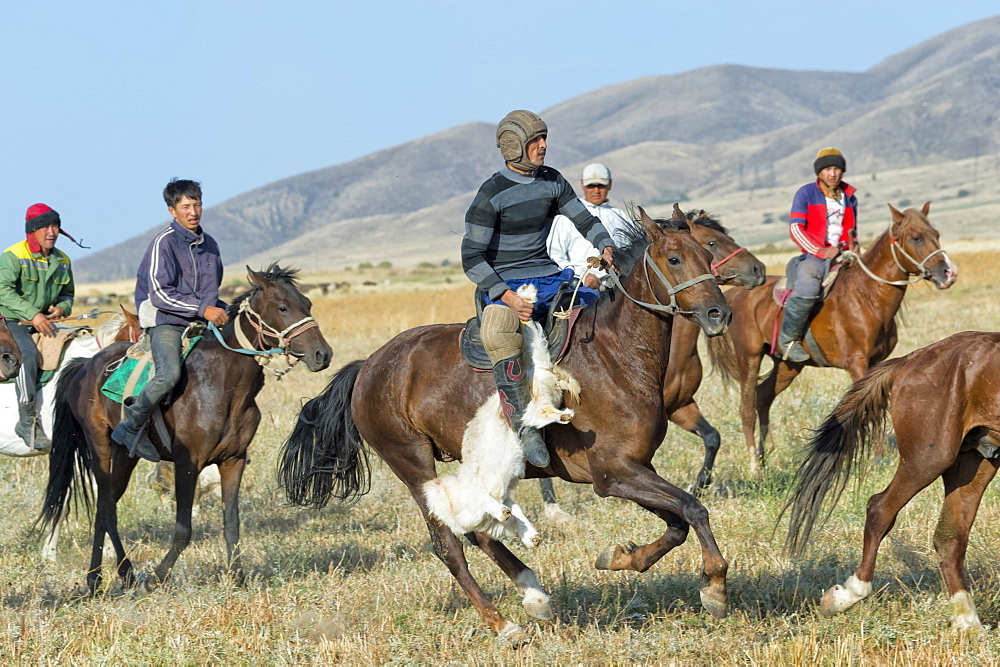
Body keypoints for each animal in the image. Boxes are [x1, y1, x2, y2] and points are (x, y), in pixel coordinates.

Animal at [40, 266, 332, 596]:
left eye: (307, 304)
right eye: (282, 307)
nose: (322, 354)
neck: (222, 385)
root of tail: (83, 366)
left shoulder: (233, 460)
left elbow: (232, 523)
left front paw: (238, 577)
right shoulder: (186, 463)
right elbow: (183, 530)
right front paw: (154, 579)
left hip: (126, 456)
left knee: (107, 505)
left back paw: (100, 578)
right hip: (99, 445)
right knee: (105, 507)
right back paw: (120, 574)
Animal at [282, 210, 736, 648]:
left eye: (707, 254)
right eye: (674, 259)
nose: (719, 314)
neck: (615, 354)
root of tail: (368, 368)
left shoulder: (636, 468)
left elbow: (678, 523)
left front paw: (621, 557)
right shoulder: (613, 473)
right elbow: (693, 508)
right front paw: (714, 585)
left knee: (479, 532)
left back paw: (533, 594)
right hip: (413, 465)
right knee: (449, 544)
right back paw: (502, 625)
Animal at [708, 202, 956, 474]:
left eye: (937, 234)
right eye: (916, 238)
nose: (949, 273)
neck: (866, 296)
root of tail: (736, 295)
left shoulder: (878, 363)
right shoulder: (857, 363)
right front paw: (877, 458)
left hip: (787, 365)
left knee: (763, 396)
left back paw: (766, 454)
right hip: (749, 358)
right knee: (746, 407)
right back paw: (755, 465)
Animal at [784, 332, 1000, 632]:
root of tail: (912, 358)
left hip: (972, 461)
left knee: (950, 537)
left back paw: (968, 625)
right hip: (930, 457)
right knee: (880, 509)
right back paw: (847, 596)